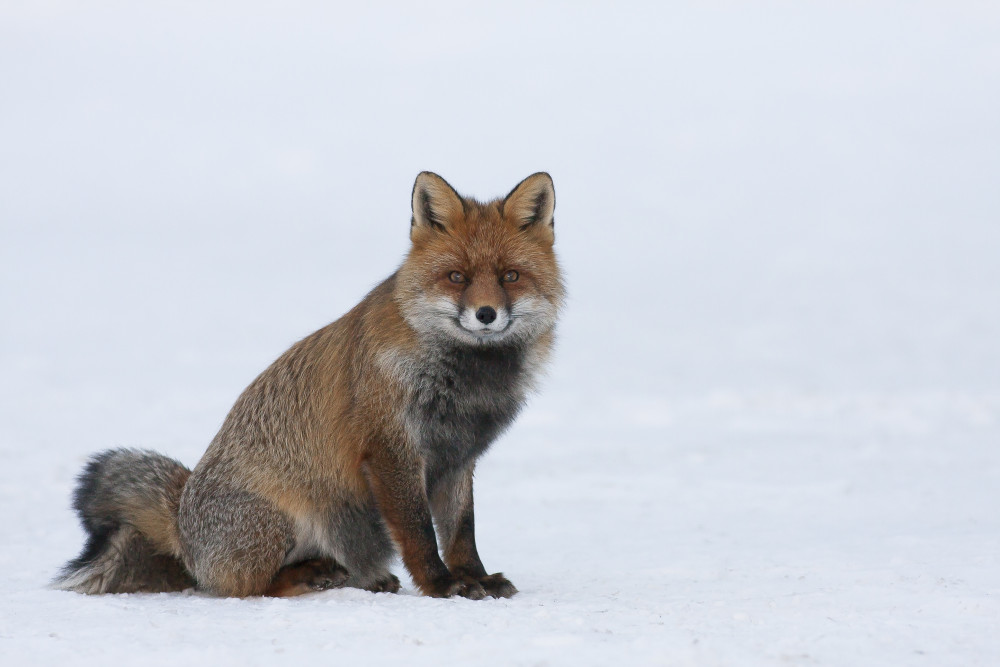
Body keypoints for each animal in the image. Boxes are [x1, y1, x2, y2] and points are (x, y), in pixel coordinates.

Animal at [54, 172, 563, 599]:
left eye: (510, 277)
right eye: (456, 277)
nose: (485, 314)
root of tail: (182, 522)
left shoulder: (457, 457)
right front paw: (441, 585)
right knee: (246, 587)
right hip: (282, 523)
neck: (463, 382)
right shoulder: (391, 448)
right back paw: (311, 575)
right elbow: (419, 534)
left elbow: (461, 532)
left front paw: (476, 577)